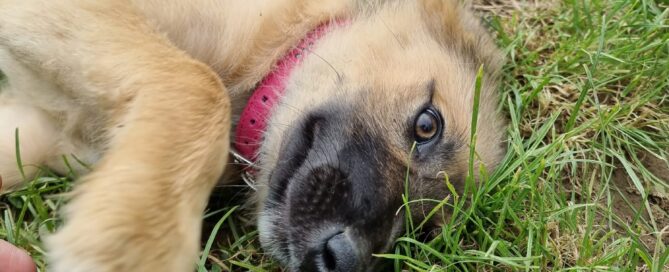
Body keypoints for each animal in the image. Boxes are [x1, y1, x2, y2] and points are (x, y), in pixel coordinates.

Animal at [0, 0, 504, 270]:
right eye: (427, 125)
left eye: (424, 227)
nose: (342, 257)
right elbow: (199, 85)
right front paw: (138, 239)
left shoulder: (37, 130)